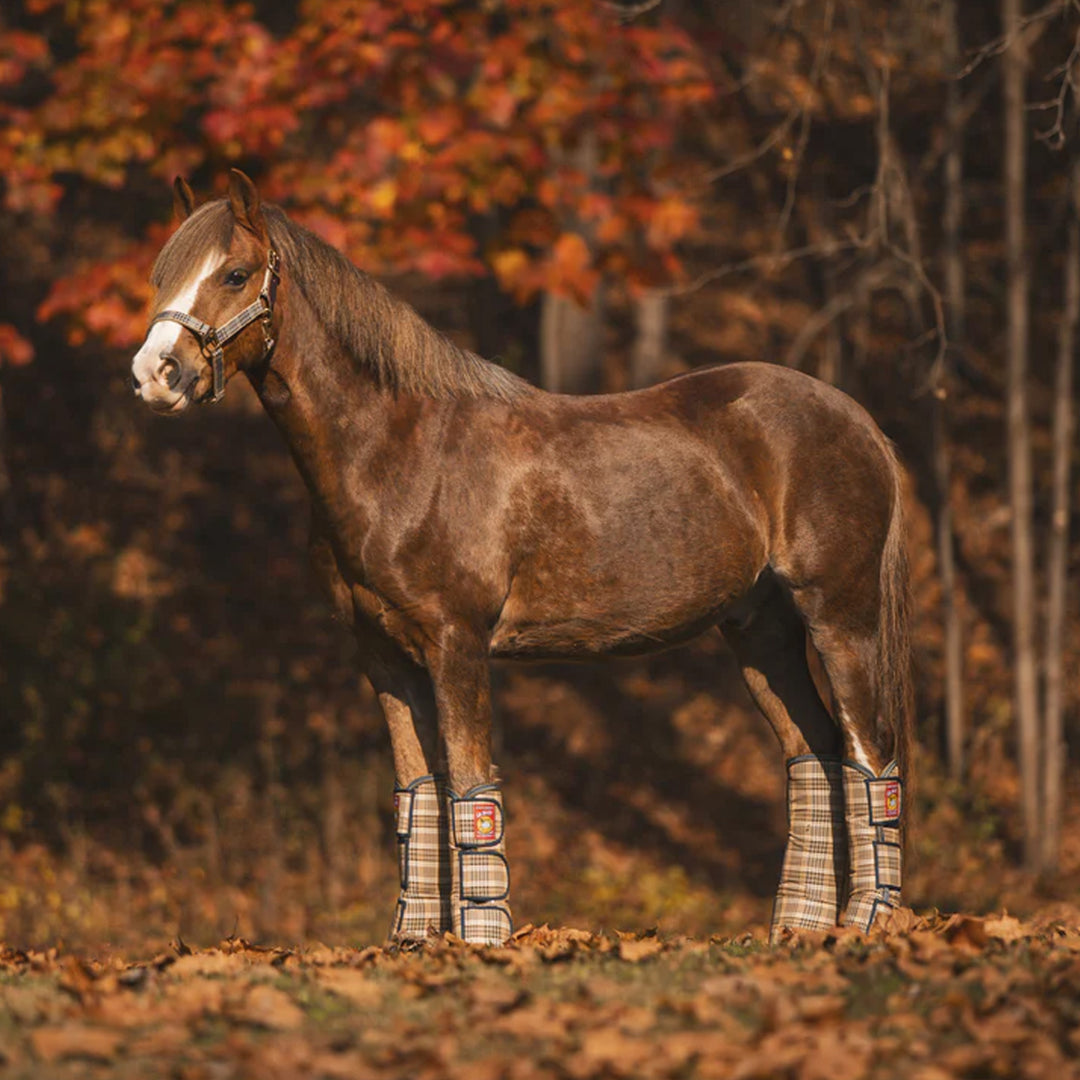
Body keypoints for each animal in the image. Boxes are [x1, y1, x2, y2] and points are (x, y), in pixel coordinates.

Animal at [130, 168, 915, 946]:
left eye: (236, 274)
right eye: (163, 274)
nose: (154, 375)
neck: (398, 449)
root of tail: (856, 418)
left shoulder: (457, 645)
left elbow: (472, 791)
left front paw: (480, 943)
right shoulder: (382, 655)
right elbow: (418, 793)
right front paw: (416, 942)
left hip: (840, 616)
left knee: (871, 753)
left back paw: (866, 925)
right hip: (761, 633)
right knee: (814, 750)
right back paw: (801, 931)